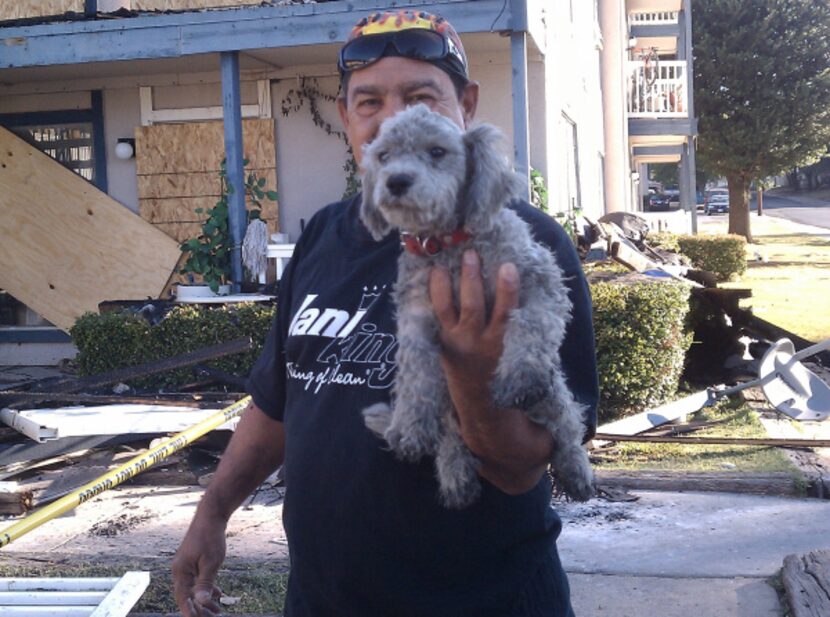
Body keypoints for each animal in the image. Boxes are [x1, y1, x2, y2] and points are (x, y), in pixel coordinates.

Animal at [360, 106, 596, 508]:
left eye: (437, 151)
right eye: (384, 156)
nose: (396, 181)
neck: (448, 244)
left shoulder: (540, 281)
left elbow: (530, 324)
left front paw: (519, 373)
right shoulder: (415, 316)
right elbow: (416, 372)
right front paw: (410, 425)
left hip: (553, 393)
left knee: (566, 426)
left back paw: (575, 468)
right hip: (451, 403)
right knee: (451, 432)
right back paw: (455, 473)